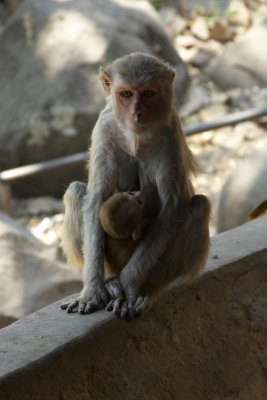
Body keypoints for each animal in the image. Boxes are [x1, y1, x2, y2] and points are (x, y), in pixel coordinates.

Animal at [61, 52, 211, 318]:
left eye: (148, 93)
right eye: (126, 94)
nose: (137, 113)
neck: (136, 137)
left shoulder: (170, 136)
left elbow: (169, 212)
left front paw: (128, 288)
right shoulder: (104, 129)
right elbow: (96, 199)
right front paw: (91, 290)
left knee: (198, 207)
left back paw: (147, 289)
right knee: (76, 191)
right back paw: (108, 282)